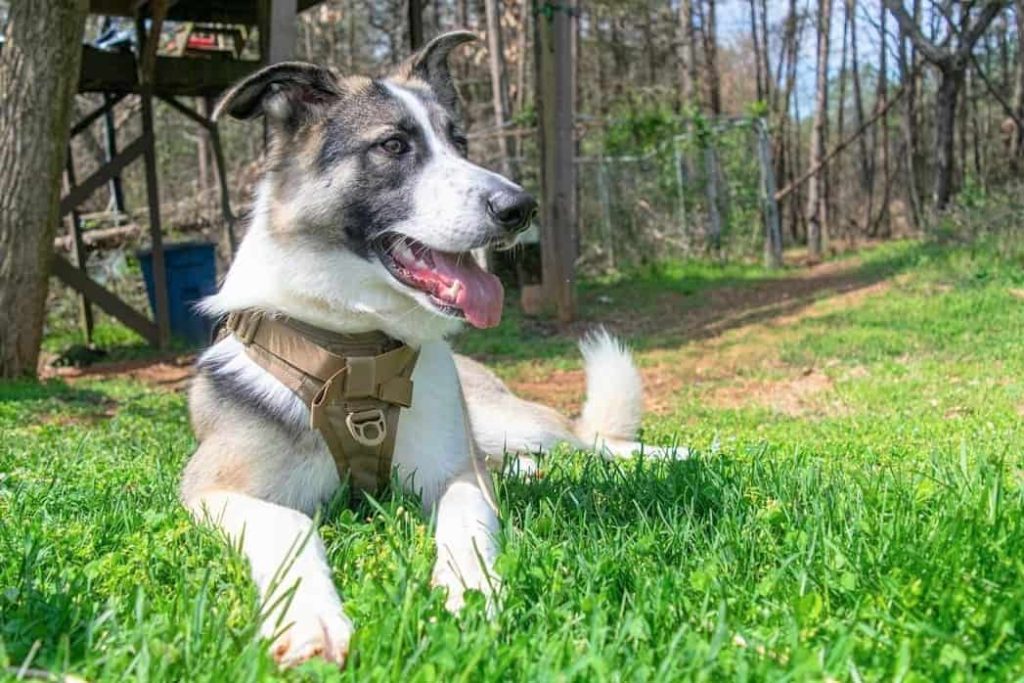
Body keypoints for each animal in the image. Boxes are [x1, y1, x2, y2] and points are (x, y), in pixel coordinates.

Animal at [180, 30, 667, 667]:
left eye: (459, 142)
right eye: (393, 145)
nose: (521, 208)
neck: (356, 347)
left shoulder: (455, 475)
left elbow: (466, 519)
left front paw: (470, 589)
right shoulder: (212, 489)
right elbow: (290, 526)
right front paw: (310, 618)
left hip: (506, 421)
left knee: (588, 441)